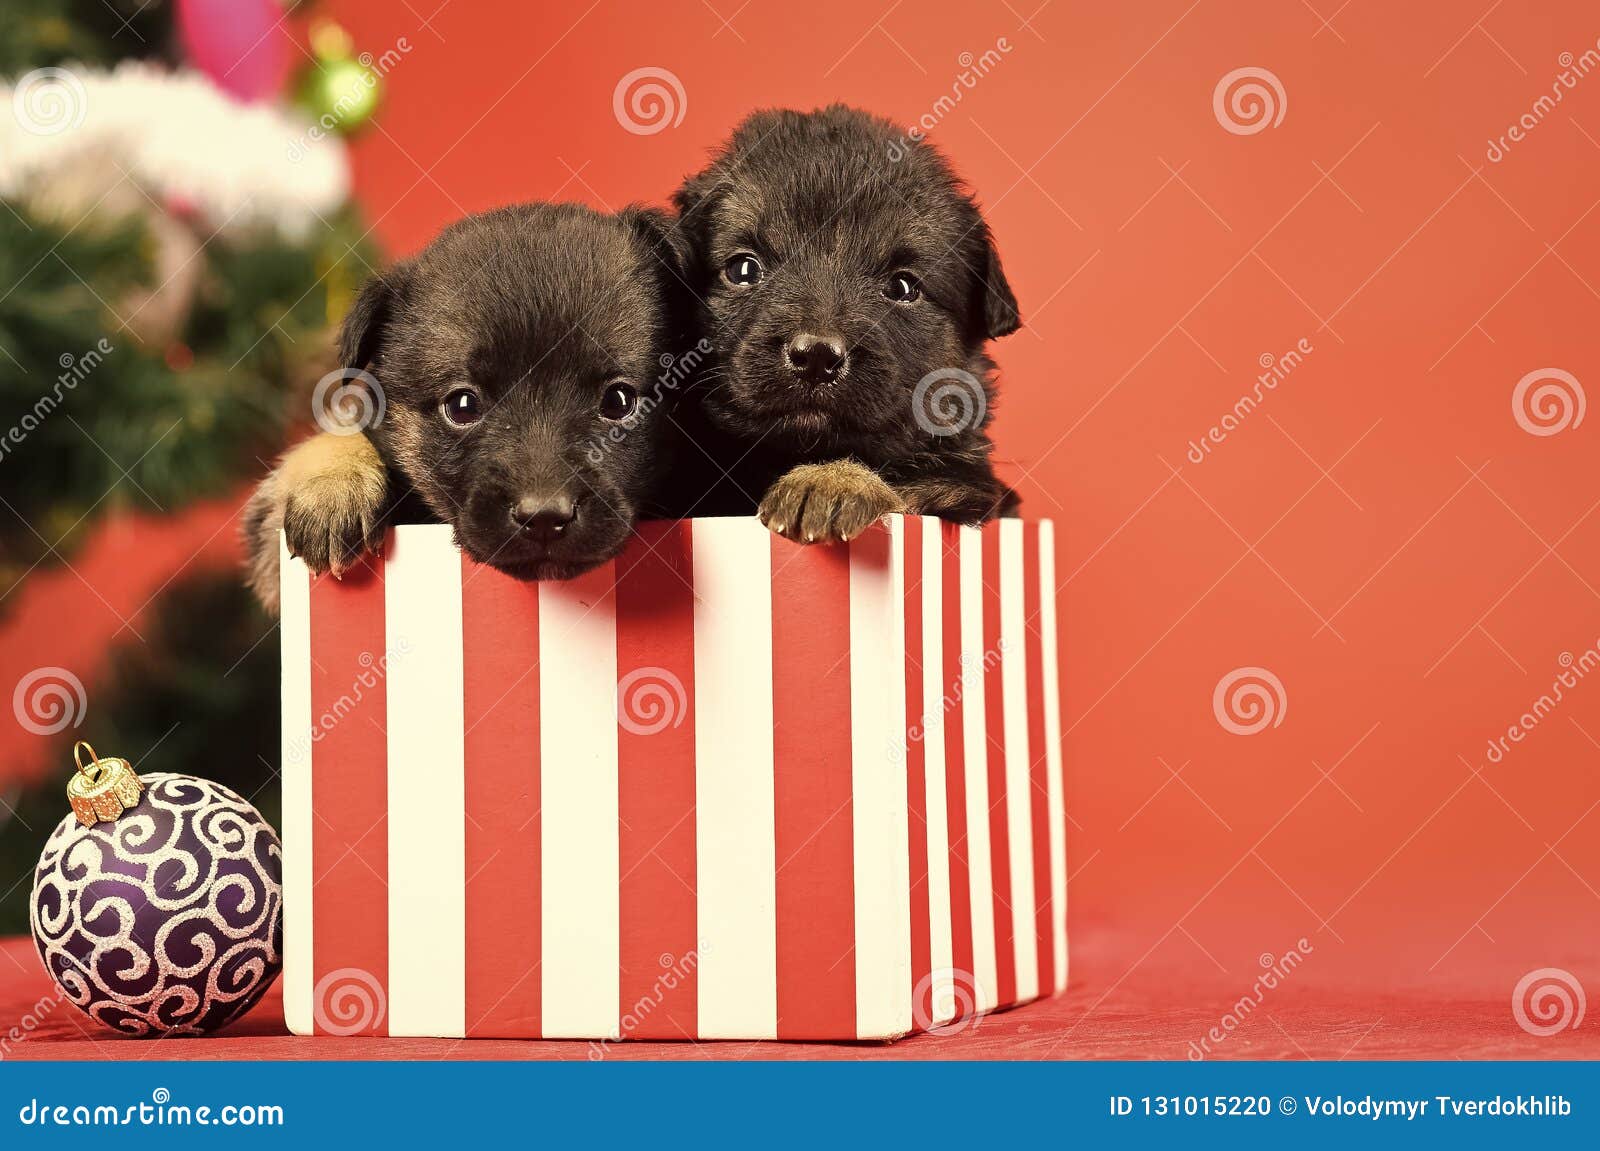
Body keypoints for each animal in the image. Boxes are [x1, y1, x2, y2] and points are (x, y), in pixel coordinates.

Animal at [668, 104, 1017, 544]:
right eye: (743, 269)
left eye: (903, 286)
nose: (816, 357)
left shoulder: (967, 486)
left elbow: (909, 483)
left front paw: (832, 481)